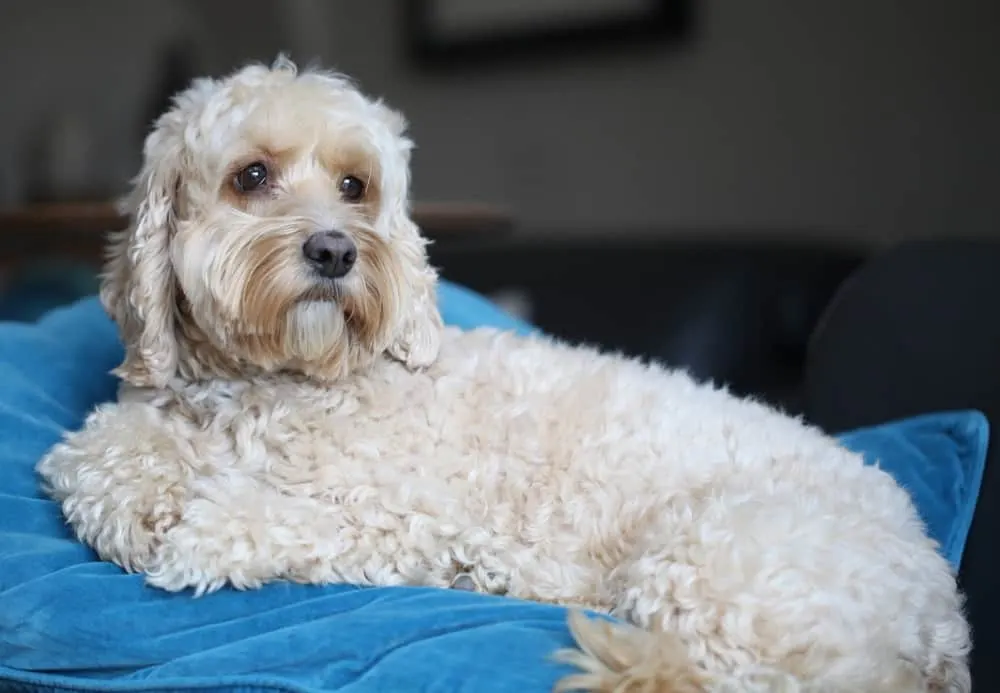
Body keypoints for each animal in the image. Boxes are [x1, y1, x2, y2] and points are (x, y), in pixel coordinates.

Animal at [37, 58, 968, 692]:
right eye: (251, 176)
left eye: (355, 185)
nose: (336, 250)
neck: (277, 380)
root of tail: (940, 610)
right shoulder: (140, 421)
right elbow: (94, 455)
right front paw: (139, 495)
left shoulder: (400, 514)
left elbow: (270, 518)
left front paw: (198, 525)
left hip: (709, 553)